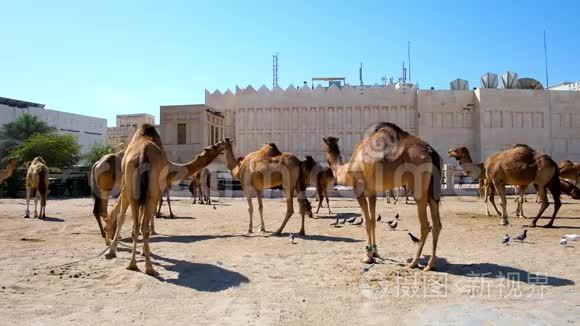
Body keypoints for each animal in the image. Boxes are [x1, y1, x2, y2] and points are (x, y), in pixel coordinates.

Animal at [104, 125, 231, 276]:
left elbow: (141, 221)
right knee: (127, 218)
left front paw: (142, 252)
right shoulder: (150, 191)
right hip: (143, 190)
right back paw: (144, 265)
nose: (229, 140)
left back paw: (131, 263)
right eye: (225, 146)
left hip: (135, 190)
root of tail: (142, 155)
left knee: (135, 225)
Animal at [324, 122, 442, 270]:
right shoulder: (372, 192)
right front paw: (375, 253)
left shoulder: (358, 190)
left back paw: (414, 262)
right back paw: (431, 264)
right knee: (437, 224)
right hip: (432, 193)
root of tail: (430, 151)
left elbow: (367, 222)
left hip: (419, 189)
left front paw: (367, 256)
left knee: (425, 225)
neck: (345, 170)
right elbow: (373, 221)